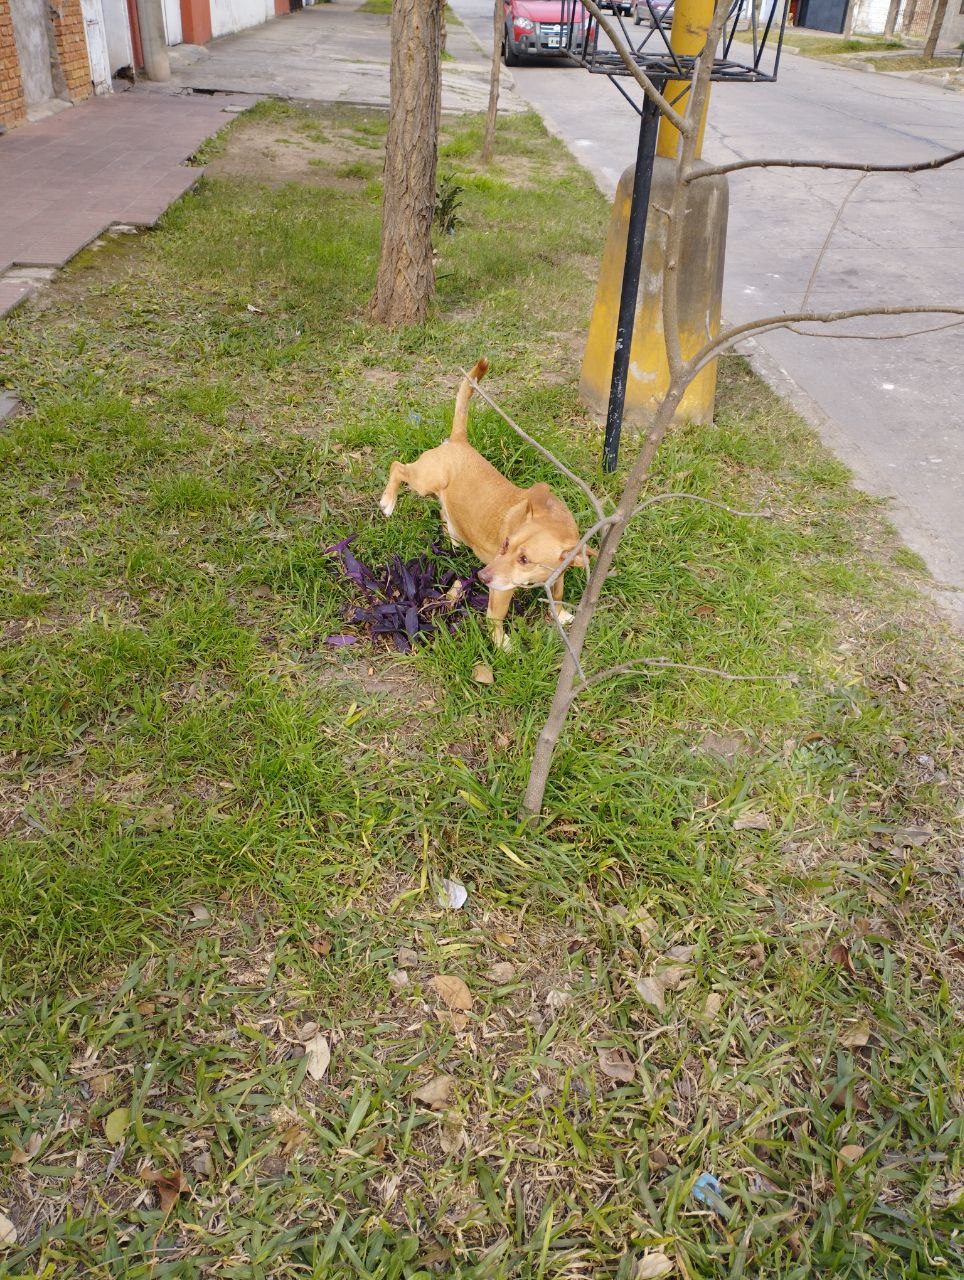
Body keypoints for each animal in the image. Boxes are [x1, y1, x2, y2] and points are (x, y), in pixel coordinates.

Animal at [378, 358, 591, 650]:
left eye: (525, 559)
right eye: (505, 544)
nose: (482, 576)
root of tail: (458, 441)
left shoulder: (557, 577)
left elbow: (557, 597)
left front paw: (560, 615)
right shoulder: (501, 592)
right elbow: (495, 618)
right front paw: (501, 644)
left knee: (445, 516)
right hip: (424, 481)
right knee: (397, 466)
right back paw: (388, 501)